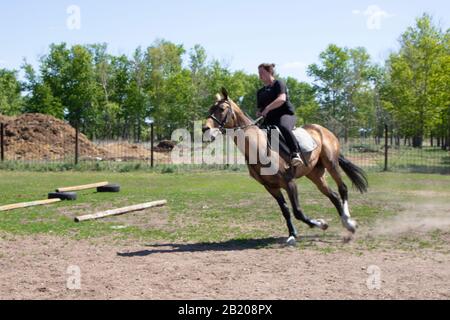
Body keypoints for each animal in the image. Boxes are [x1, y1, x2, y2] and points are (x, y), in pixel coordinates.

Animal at [202, 87, 368, 242]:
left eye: (222, 109)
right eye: (210, 109)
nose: (205, 129)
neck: (260, 147)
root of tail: (322, 129)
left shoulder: (289, 182)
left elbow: (297, 211)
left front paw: (321, 224)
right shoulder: (271, 187)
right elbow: (286, 211)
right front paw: (293, 234)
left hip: (331, 164)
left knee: (342, 189)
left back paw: (349, 223)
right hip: (315, 174)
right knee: (333, 196)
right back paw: (346, 223)